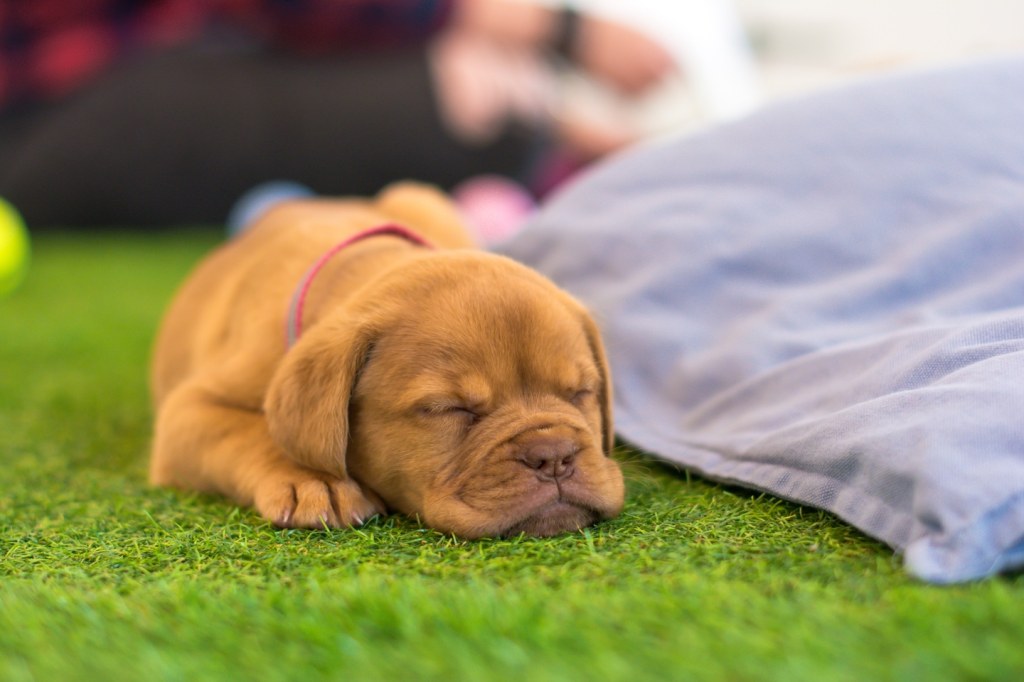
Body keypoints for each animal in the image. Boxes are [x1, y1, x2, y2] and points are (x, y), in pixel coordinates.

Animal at [149, 183, 624, 538]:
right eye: (449, 409)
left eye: (581, 392)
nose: (554, 456)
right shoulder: (184, 414)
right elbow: (249, 433)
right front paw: (314, 478)